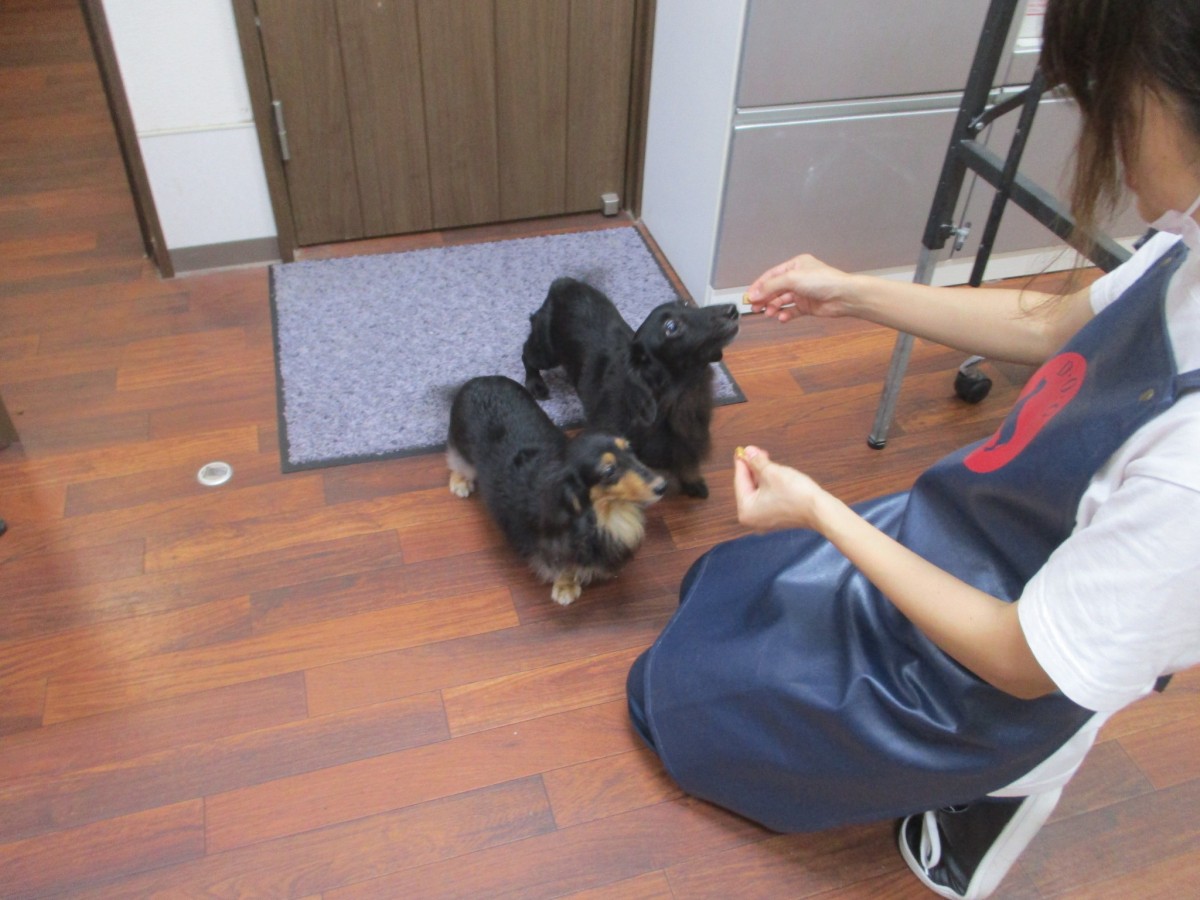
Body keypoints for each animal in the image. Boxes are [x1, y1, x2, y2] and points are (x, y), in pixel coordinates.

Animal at [447, 375, 666, 605]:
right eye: (609, 470)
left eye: (630, 449)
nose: (662, 486)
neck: (601, 514)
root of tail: (480, 379)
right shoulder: (553, 545)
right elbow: (564, 566)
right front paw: (565, 587)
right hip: (461, 446)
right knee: (457, 461)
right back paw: (460, 482)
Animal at [521, 277, 740, 498]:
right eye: (671, 327)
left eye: (686, 304)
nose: (732, 310)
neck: (679, 393)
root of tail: (562, 283)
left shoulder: (691, 436)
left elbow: (688, 461)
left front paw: (692, 482)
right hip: (546, 353)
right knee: (526, 355)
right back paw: (535, 384)